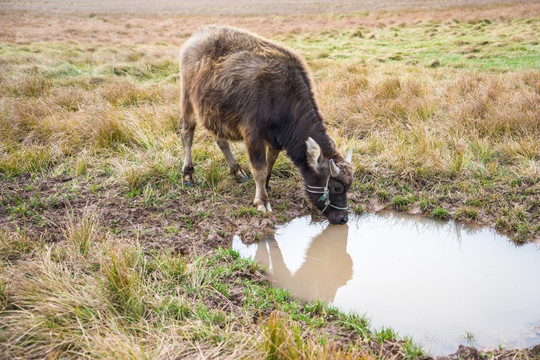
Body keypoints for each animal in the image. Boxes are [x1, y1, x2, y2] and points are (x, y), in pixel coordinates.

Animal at [179, 26, 352, 225]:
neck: (282, 96)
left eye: (349, 186)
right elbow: (259, 168)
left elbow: (271, 161)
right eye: (337, 187)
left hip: (215, 113)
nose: (343, 218)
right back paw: (188, 174)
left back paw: (237, 171)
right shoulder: (253, 135)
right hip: (187, 99)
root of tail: (195, 37)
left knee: (221, 141)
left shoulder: (275, 139)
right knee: (187, 133)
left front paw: (267, 185)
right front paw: (262, 202)